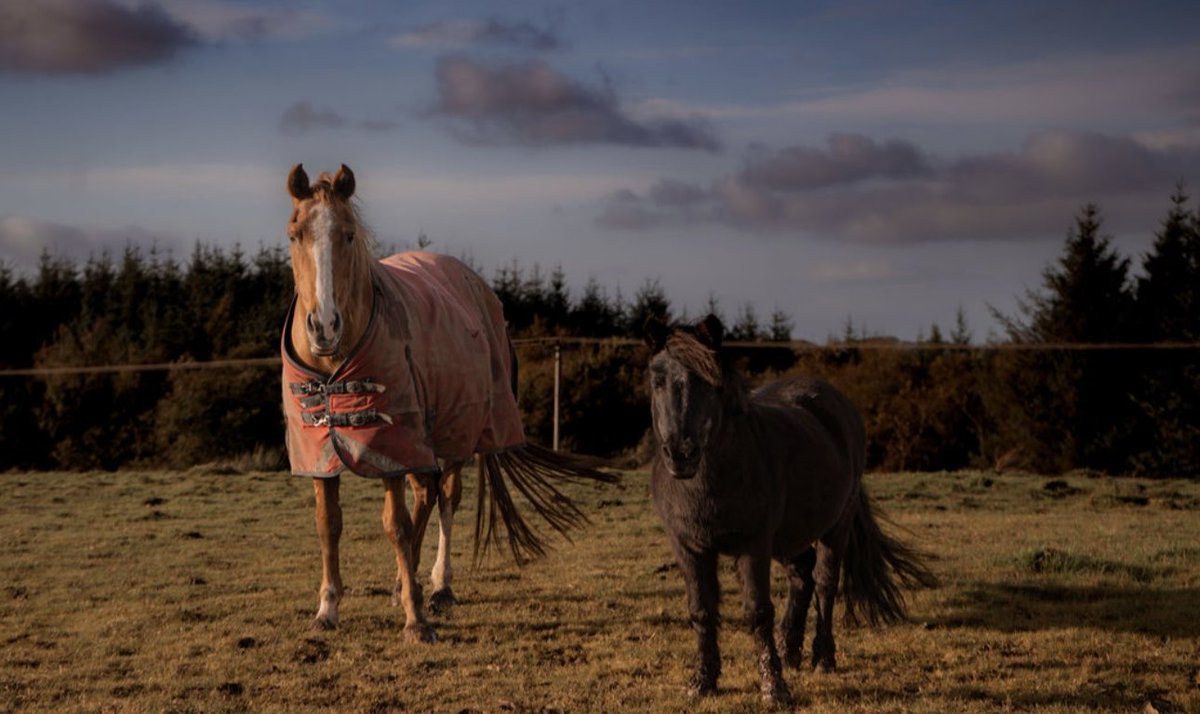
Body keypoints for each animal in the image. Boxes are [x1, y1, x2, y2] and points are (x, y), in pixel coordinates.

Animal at [281, 163, 615, 641]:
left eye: (347, 234)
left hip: (458, 433)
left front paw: (416, 620)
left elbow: (396, 525)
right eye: (295, 234)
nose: (324, 326)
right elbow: (329, 525)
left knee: (446, 498)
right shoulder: (319, 451)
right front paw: (327, 609)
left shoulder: (393, 446)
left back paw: (438, 586)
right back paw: (405, 584)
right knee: (427, 492)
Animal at [643, 314, 936, 705]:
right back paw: (790, 648)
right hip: (789, 536)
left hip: (834, 526)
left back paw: (822, 657)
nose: (680, 453)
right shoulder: (689, 547)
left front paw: (774, 688)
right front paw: (701, 682)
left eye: (708, 381)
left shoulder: (754, 545)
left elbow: (757, 613)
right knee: (802, 572)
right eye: (657, 379)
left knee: (825, 583)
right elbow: (701, 611)